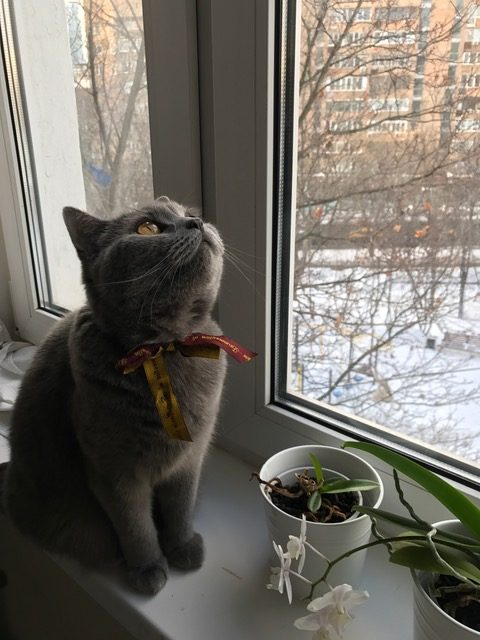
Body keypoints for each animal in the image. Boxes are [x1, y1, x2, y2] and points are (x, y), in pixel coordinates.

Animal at [3, 196, 227, 595]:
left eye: (189, 213)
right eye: (148, 228)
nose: (197, 223)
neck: (165, 348)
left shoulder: (189, 459)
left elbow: (181, 507)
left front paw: (183, 547)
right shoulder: (113, 472)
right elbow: (134, 526)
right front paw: (148, 568)